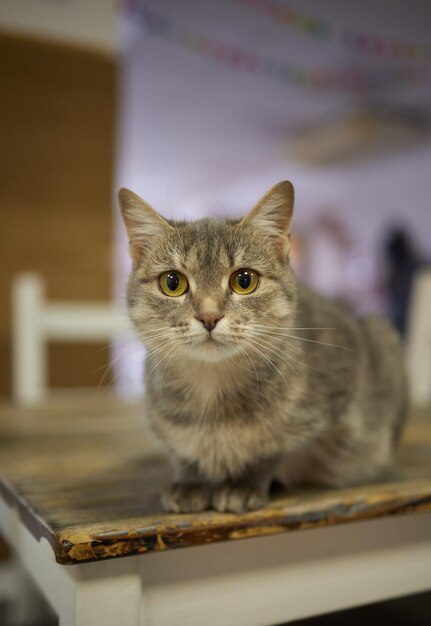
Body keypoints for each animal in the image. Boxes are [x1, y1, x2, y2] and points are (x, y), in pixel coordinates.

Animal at [118, 180, 408, 512]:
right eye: (172, 283)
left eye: (244, 280)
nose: (209, 316)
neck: (212, 392)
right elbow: (183, 452)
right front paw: (191, 480)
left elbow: (275, 451)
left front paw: (243, 482)